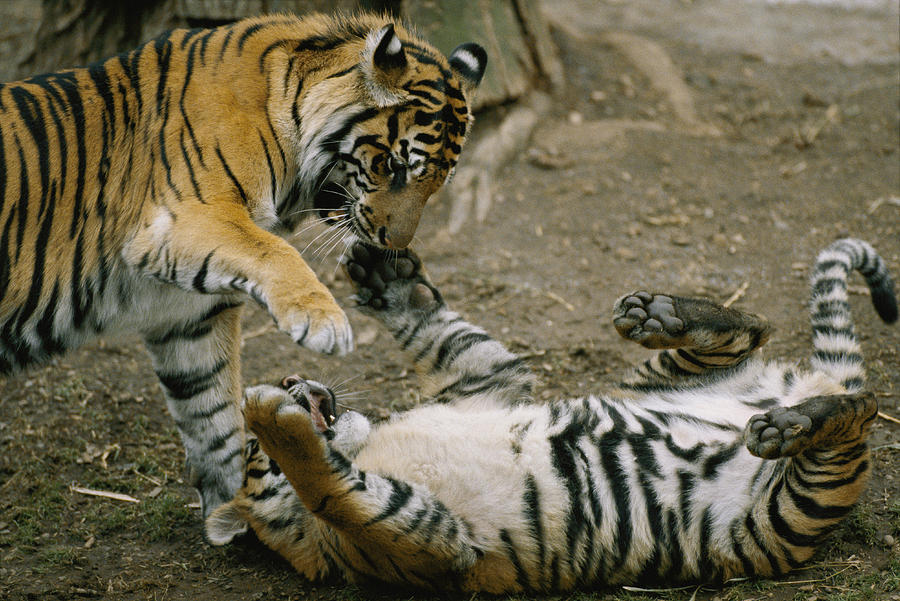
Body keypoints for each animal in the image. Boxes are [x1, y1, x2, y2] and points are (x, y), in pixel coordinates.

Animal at [0, 11, 486, 512]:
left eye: (437, 182)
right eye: (395, 166)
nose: (394, 243)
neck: (285, 108)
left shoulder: (187, 313)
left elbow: (213, 416)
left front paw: (232, 503)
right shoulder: (187, 216)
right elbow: (275, 251)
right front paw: (323, 323)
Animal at [207, 236, 896, 592]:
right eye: (250, 452)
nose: (290, 379)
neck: (368, 443)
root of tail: (808, 386)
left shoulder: (489, 382)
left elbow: (442, 332)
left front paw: (385, 278)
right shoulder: (433, 542)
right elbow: (334, 490)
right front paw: (272, 417)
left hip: (658, 379)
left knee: (755, 327)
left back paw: (664, 314)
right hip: (787, 511)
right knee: (860, 409)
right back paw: (788, 424)